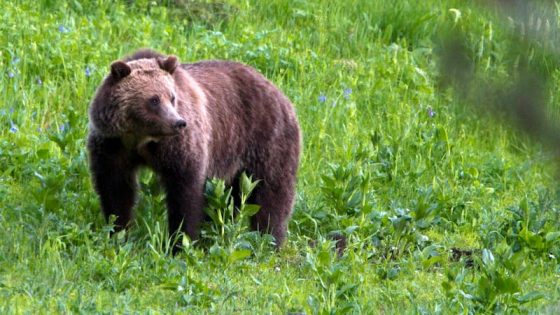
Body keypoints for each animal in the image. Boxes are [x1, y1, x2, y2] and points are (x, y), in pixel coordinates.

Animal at [86, 49, 302, 249]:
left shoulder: (178, 147)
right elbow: (116, 189)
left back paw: (269, 240)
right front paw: (118, 233)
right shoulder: (113, 146)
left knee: (272, 192)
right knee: (231, 197)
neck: (141, 138)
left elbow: (185, 192)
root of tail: (278, 91)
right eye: (154, 100)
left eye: (172, 97)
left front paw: (180, 242)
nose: (178, 122)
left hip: (266, 139)